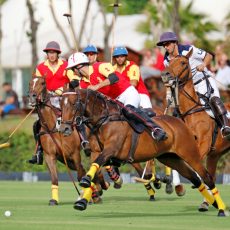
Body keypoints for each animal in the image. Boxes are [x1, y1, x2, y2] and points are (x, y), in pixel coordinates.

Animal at [60, 87, 226, 216]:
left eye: (74, 104)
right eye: (61, 105)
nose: (64, 129)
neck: (105, 119)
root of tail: (180, 122)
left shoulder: (111, 149)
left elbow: (96, 165)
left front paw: (85, 181)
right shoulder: (98, 152)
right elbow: (95, 170)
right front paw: (82, 201)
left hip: (191, 154)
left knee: (207, 177)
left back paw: (221, 209)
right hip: (171, 158)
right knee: (195, 178)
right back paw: (213, 203)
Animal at [162, 54, 230, 210]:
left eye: (183, 62)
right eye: (169, 62)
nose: (165, 74)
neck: (191, 111)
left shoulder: (203, 143)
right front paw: (176, 186)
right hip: (215, 155)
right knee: (211, 174)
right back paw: (206, 203)